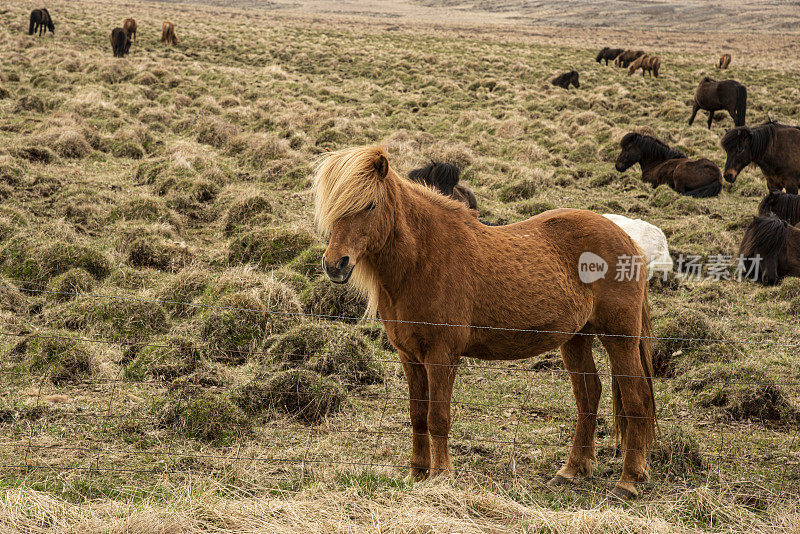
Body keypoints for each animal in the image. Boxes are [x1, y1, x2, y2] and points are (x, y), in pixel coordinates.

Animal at [316, 144, 660, 500]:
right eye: (333, 207)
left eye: (369, 205)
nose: (335, 265)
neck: (424, 260)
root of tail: (627, 238)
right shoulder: (409, 356)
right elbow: (417, 416)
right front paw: (417, 474)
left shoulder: (441, 355)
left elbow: (438, 417)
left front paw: (441, 476)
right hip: (576, 338)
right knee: (589, 394)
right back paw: (571, 471)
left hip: (620, 337)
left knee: (636, 398)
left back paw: (628, 481)